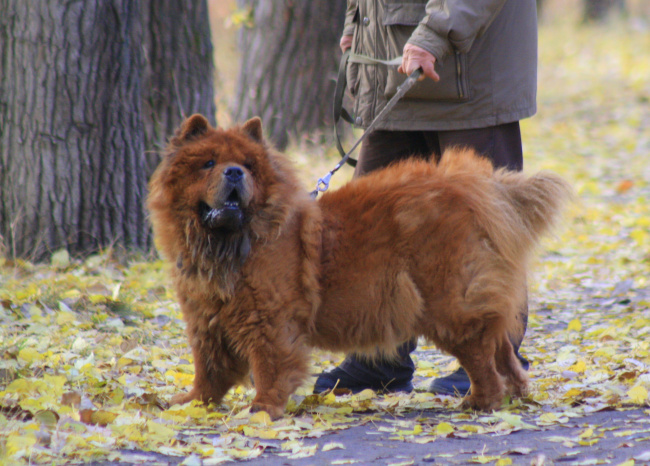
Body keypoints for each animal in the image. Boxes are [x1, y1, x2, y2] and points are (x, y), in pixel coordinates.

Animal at [147, 114, 568, 418]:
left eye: (248, 166)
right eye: (208, 163)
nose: (235, 172)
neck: (229, 243)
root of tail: (479, 188)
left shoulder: (268, 320)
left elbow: (269, 366)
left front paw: (262, 410)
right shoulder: (205, 320)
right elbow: (208, 369)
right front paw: (192, 402)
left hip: (451, 306)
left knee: (482, 358)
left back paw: (480, 403)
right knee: (504, 352)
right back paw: (515, 395)